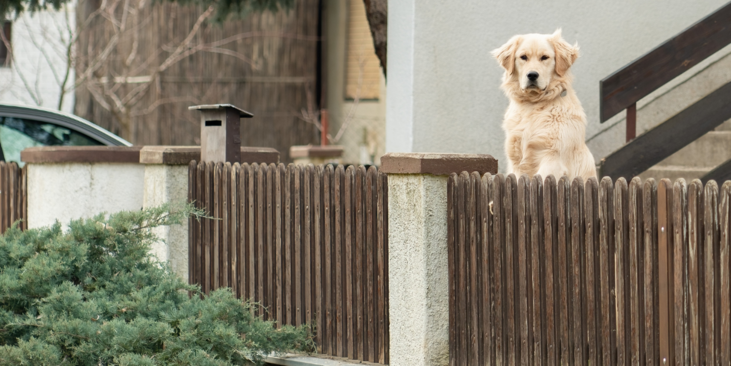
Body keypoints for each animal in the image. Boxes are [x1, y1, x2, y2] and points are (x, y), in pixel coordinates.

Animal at [494, 29, 596, 181]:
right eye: (523, 57)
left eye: (544, 57)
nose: (532, 75)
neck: (533, 105)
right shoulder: (516, 161)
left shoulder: (552, 158)